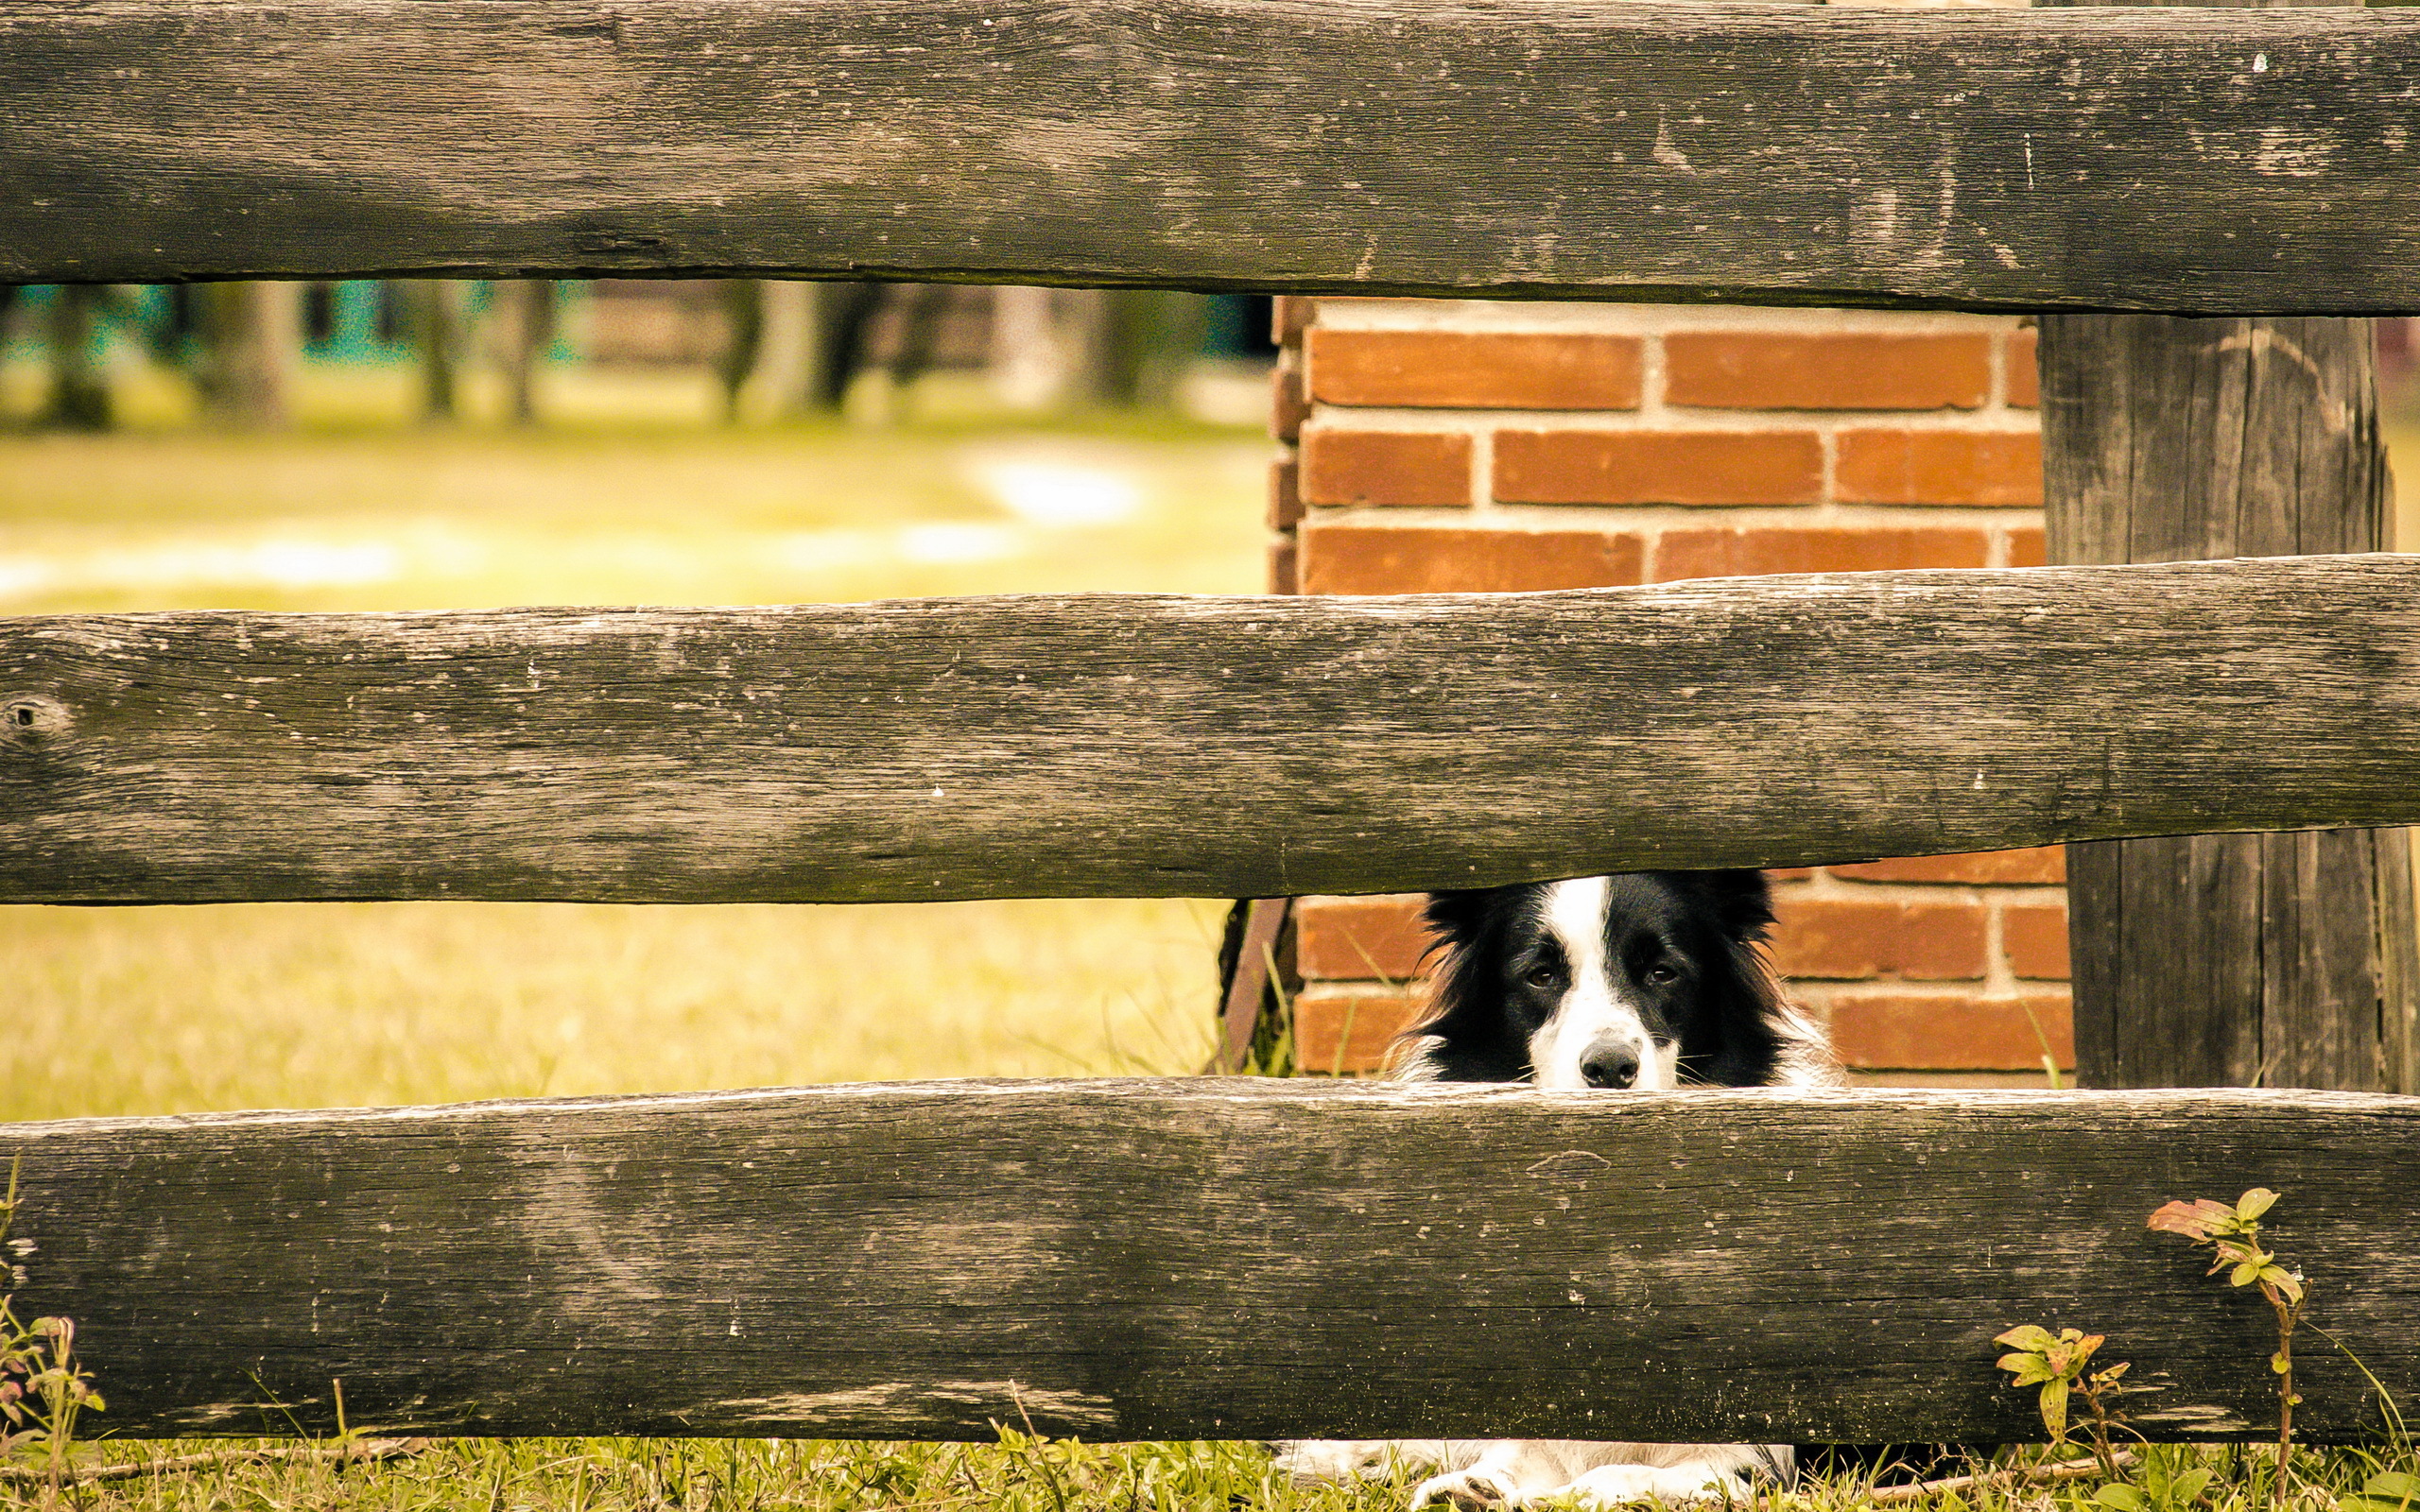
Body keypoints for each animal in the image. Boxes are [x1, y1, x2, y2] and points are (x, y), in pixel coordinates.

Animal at [1287, 866, 1829, 1500]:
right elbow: (1516, 1454)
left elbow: (1638, 1472)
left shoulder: (1758, 1455)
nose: (1610, 1066)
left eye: (1662, 972)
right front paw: (1474, 1488)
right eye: (1541, 976)